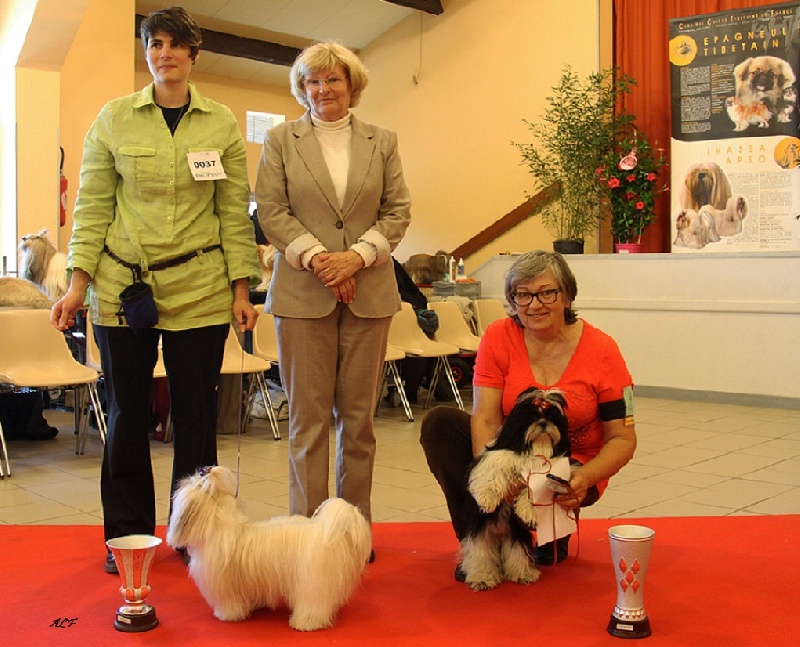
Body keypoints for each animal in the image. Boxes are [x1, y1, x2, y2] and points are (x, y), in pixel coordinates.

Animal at [167, 465, 371, 631]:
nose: (186, 478)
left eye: (192, 481)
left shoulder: (224, 587)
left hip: (312, 582)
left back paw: (305, 623)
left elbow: (230, 604)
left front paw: (226, 615)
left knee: (313, 605)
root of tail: (329, 533)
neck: (218, 523)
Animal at [461, 388, 571, 591]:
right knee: (480, 553)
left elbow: (531, 492)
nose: (543, 422)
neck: (535, 449)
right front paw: (487, 499)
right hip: (480, 532)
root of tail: (499, 532)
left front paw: (528, 512)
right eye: (531, 417)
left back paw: (522, 574)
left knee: (517, 552)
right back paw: (482, 577)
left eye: (552, 417)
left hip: (516, 533)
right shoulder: (498, 456)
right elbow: (492, 472)